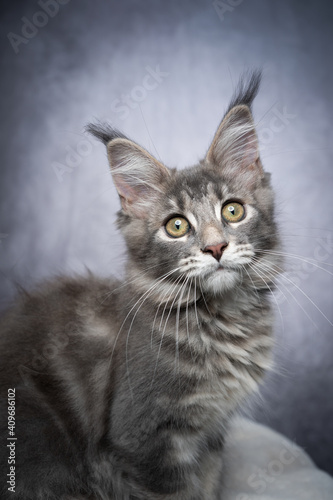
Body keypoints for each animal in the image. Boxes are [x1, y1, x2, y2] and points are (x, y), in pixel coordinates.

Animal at [0, 71, 280, 500]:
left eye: (233, 210)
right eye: (176, 226)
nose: (216, 247)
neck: (220, 319)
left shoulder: (211, 437)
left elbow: (207, 486)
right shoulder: (143, 442)